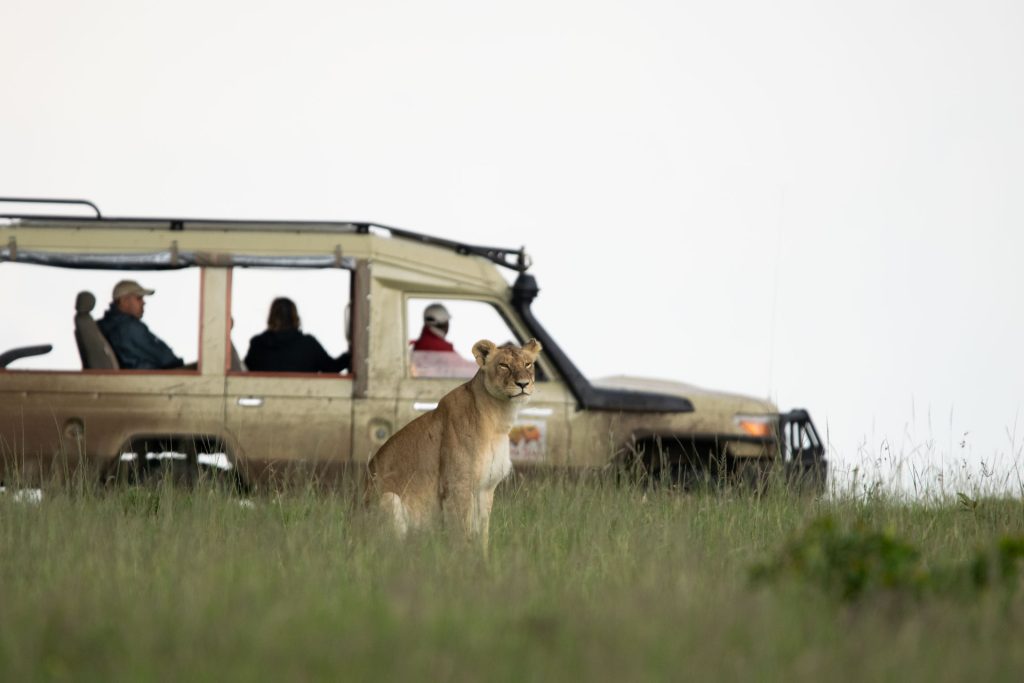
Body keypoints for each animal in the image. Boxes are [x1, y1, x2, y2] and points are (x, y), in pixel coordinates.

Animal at [366, 338, 542, 551]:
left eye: (528, 364)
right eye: (504, 365)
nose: (523, 384)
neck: (501, 418)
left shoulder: (486, 488)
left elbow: (482, 534)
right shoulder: (458, 486)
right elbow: (462, 534)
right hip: (389, 499)